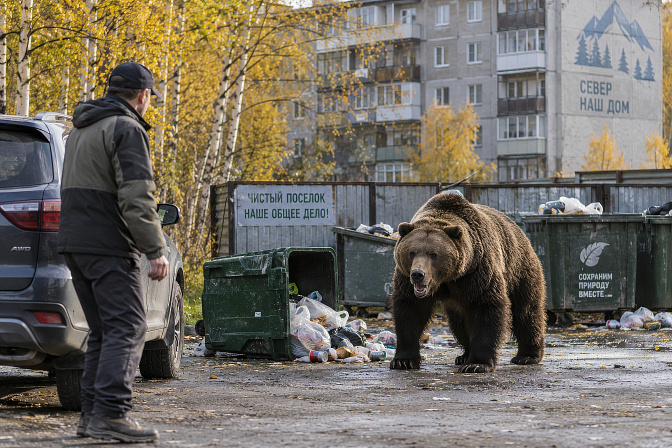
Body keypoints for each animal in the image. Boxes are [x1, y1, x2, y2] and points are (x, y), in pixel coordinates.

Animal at [389, 192, 546, 373]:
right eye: (412, 252)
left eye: (434, 254)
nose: (418, 274)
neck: (446, 280)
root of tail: (520, 232)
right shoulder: (405, 280)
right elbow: (409, 311)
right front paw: (403, 361)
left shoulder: (477, 272)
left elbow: (486, 308)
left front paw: (477, 364)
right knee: (460, 324)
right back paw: (463, 356)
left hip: (520, 271)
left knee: (526, 312)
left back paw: (527, 355)